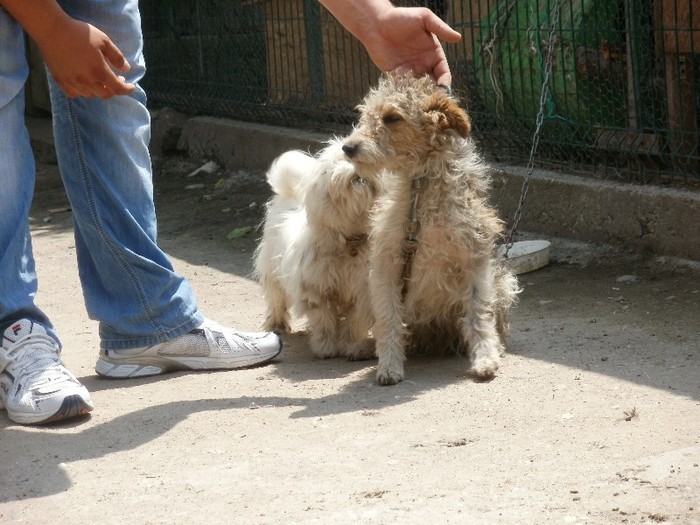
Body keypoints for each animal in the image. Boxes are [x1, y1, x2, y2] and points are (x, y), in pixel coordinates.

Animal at [254, 139, 380, 360]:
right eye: (342, 159)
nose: (358, 170)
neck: (350, 240)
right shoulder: (317, 289)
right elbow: (324, 320)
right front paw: (325, 347)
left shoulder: (363, 293)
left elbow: (354, 320)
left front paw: (351, 344)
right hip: (272, 272)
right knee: (276, 299)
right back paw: (277, 325)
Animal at [342, 74, 516, 384]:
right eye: (365, 115)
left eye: (392, 117)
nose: (347, 147)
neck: (419, 189)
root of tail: (434, 338)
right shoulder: (386, 266)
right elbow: (388, 320)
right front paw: (389, 365)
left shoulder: (475, 257)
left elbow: (479, 315)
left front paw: (485, 358)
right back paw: (365, 347)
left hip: (503, 281)